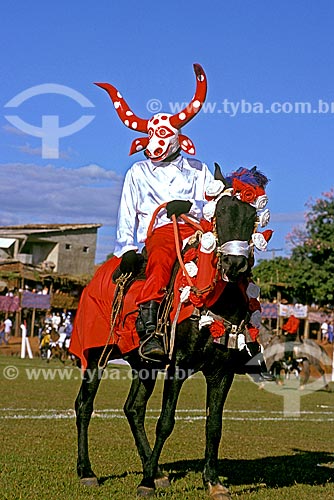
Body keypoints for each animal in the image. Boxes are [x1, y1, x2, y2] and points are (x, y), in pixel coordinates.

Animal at [72, 165, 268, 500]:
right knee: (84, 405)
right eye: (220, 212)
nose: (235, 264)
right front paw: (146, 482)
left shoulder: (222, 372)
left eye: (253, 215)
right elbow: (165, 422)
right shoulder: (178, 367)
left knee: (133, 409)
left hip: (144, 365)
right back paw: (87, 472)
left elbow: (214, 425)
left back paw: (158, 471)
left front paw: (212, 481)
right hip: (96, 356)